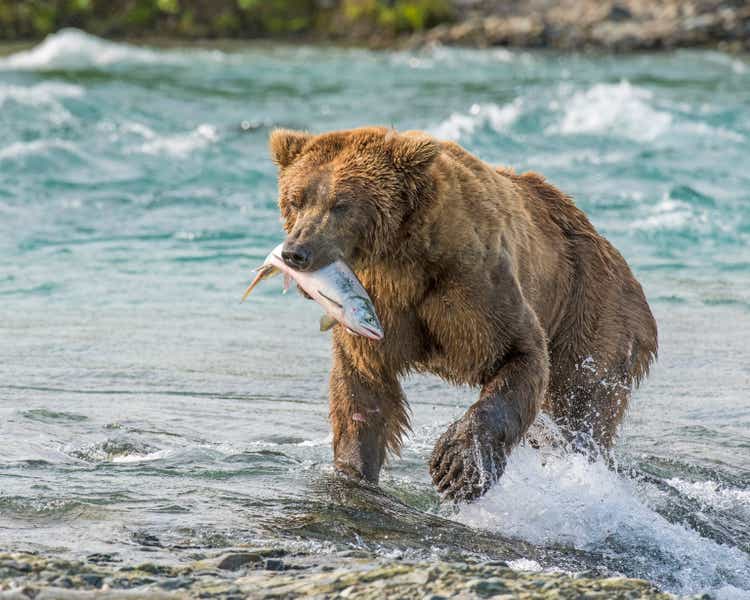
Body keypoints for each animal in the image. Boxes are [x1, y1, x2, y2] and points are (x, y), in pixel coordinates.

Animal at [270, 126, 656, 502]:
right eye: (296, 200)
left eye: (341, 204)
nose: (296, 252)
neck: (403, 258)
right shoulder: (377, 305)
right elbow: (363, 390)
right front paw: (354, 471)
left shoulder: (472, 283)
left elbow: (520, 352)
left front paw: (458, 466)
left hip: (592, 310)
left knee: (580, 401)